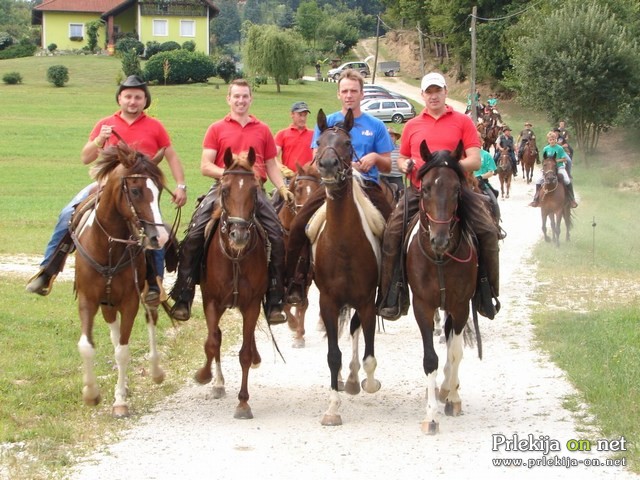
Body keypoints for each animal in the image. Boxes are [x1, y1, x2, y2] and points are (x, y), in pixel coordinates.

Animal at [73, 142, 169, 416]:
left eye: (159, 191)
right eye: (135, 190)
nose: (159, 237)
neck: (107, 246)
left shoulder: (130, 302)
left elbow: (123, 352)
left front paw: (120, 402)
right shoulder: (88, 300)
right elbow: (87, 346)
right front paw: (91, 394)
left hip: (147, 293)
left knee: (151, 320)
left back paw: (155, 371)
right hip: (107, 304)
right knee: (114, 335)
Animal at [192, 147, 268, 420]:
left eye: (254, 191)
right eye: (225, 190)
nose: (239, 234)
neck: (235, 257)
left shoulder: (252, 304)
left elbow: (243, 353)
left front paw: (243, 403)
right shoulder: (211, 301)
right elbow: (212, 342)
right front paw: (205, 376)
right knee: (217, 336)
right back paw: (218, 383)